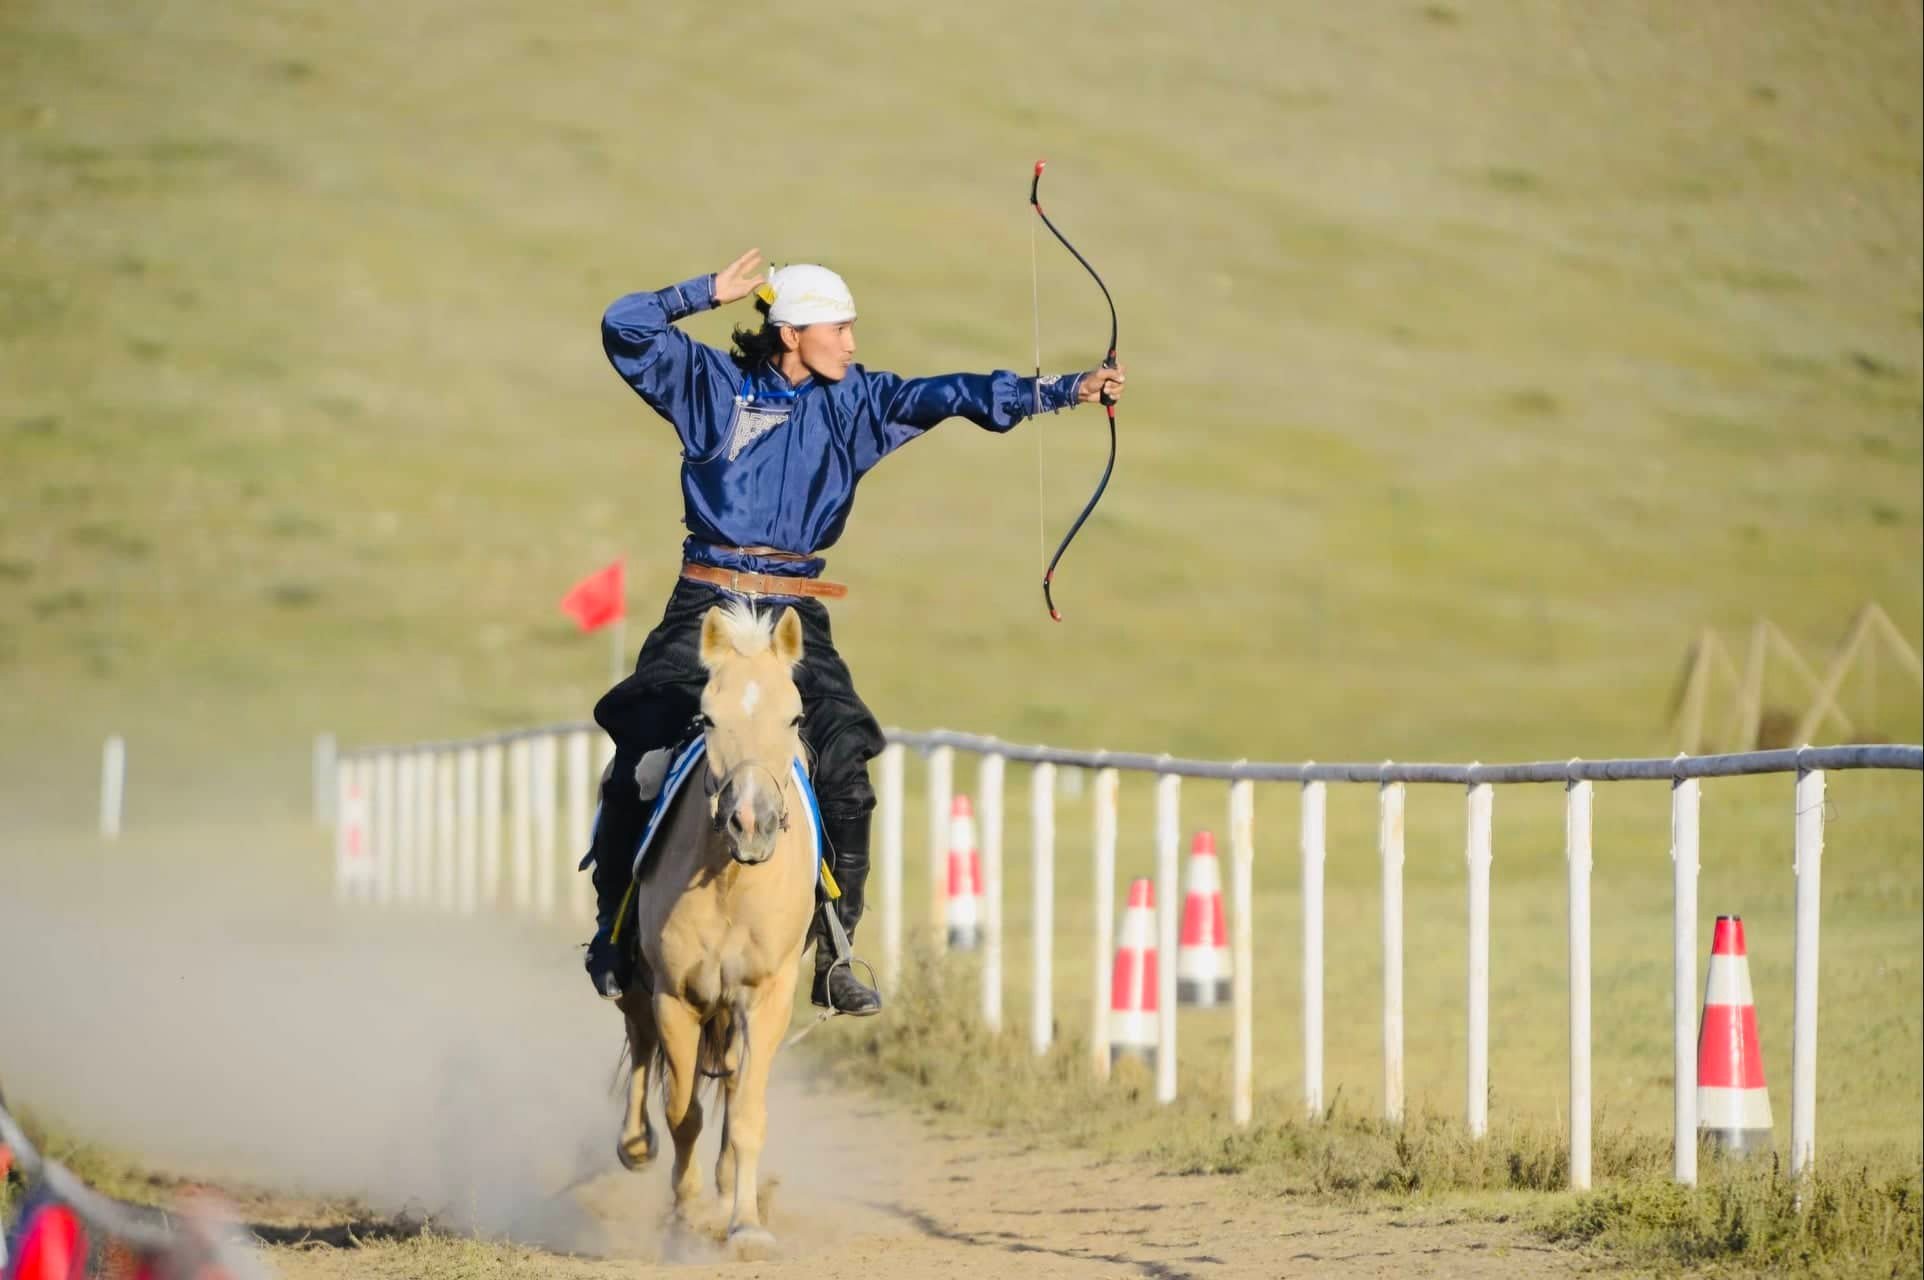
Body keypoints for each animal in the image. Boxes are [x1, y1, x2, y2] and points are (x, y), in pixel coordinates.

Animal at [611, 600, 815, 1254]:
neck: (731, 881)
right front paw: (684, 1217)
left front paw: (745, 1224)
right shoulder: (677, 997)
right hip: (639, 983)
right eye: (707, 717)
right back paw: (636, 1145)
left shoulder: (766, 998)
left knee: (726, 1078)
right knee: (642, 1042)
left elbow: (746, 1113)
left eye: (793, 715)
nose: (750, 823)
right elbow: (682, 1113)